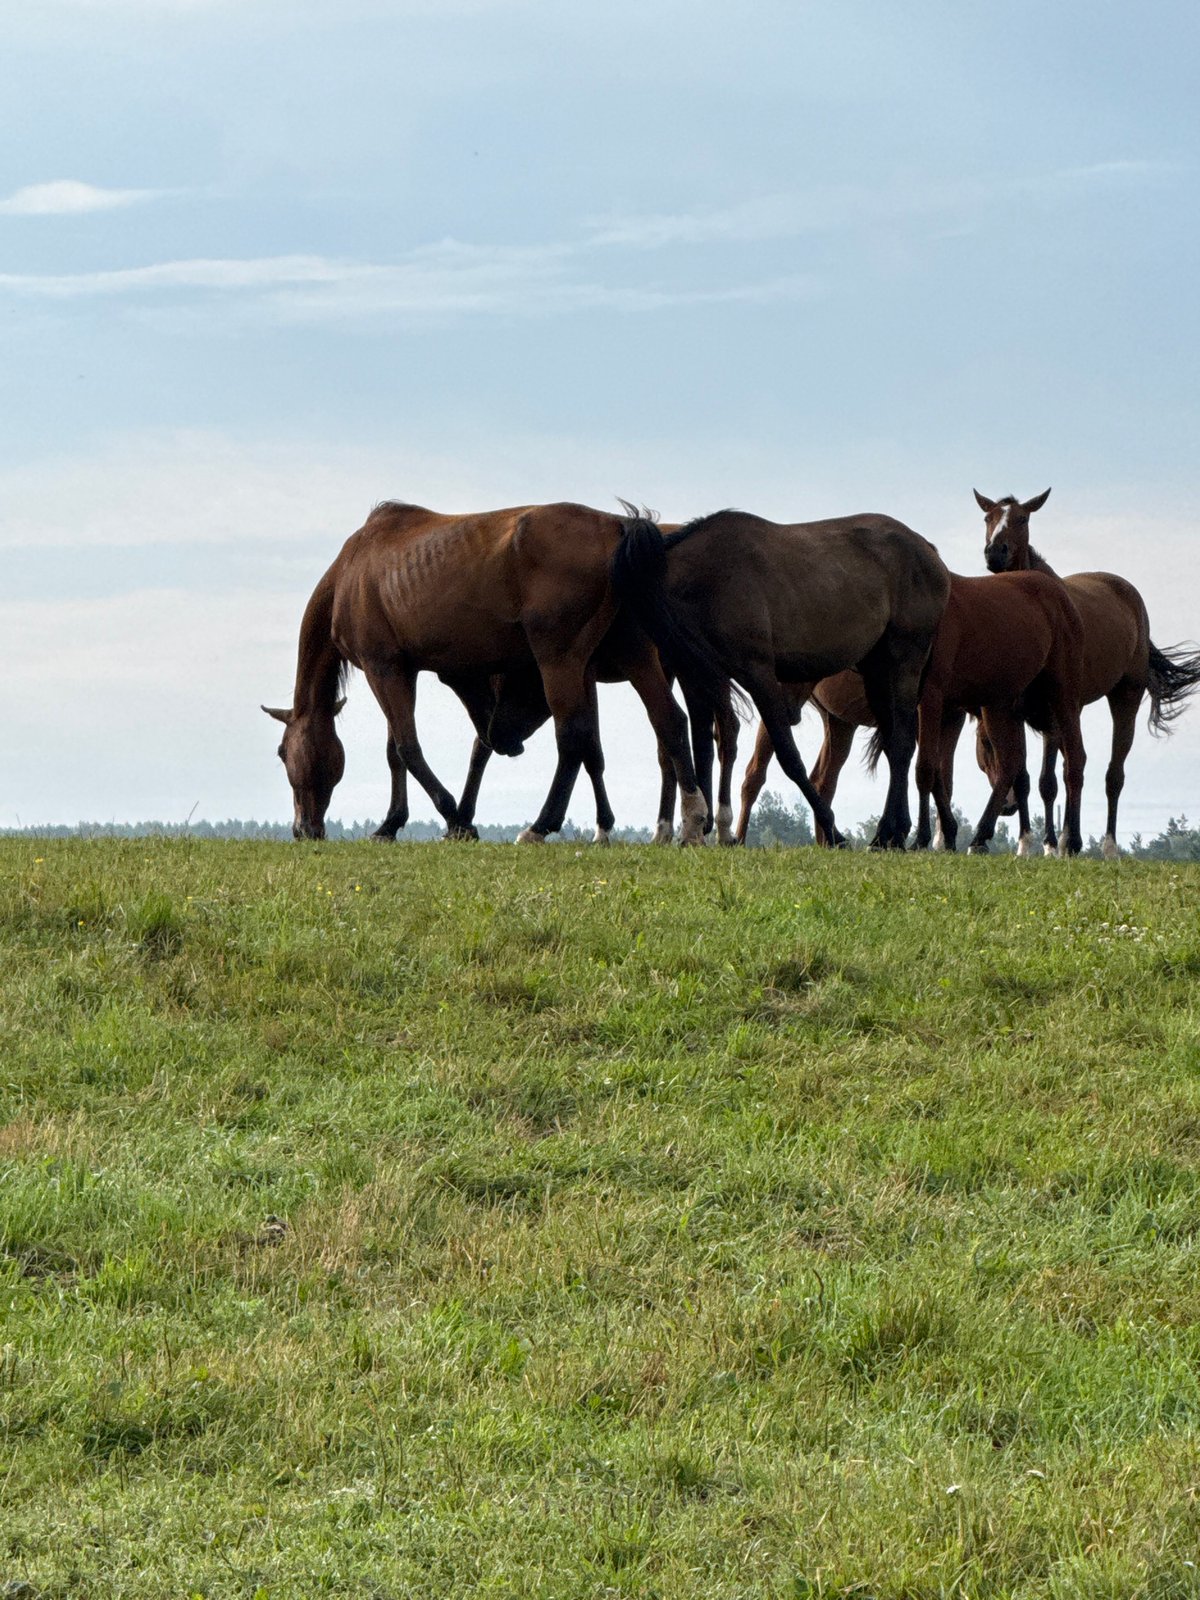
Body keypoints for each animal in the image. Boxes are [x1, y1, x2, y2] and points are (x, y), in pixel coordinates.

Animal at [263, 500, 709, 844]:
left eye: (282, 752)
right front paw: (391, 824)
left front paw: (456, 819)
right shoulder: (402, 671)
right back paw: (691, 820)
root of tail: (616, 526)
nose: (303, 829)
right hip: (634, 656)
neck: (352, 571)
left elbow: (408, 748)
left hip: (560, 660)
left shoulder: (383, 668)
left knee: (572, 737)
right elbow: (395, 752)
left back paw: (540, 826)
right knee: (668, 721)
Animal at [610, 510, 950, 848]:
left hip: (904, 663)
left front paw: (834, 831)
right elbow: (702, 746)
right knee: (894, 744)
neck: (711, 577)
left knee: (903, 743)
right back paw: (887, 833)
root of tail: (928, 551)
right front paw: (699, 826)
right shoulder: (696, 676)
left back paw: (893, 831)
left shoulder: (758, 674)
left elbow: (788, 755)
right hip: (876, 672)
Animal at [976, 489, 1200, 856]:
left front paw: (1057, 843)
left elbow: (1052, 779)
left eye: (1022, 518)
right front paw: (1028, 844)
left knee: (1113, 775)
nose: (995, 552)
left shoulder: (1057, 714)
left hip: (1125, 697)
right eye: (988, 518)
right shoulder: (1020, 711)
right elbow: (1027, 778)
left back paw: (1106, 846)